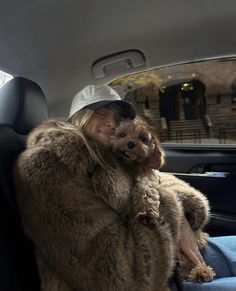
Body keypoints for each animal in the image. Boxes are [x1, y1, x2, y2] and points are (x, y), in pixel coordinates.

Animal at [111, 117, 215, 286]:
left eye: (142, 138)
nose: (131, 143)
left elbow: (147, 191)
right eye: (122, 135)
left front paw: (147, 211)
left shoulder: (148, 178)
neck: (132, 167)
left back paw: (201, 272)